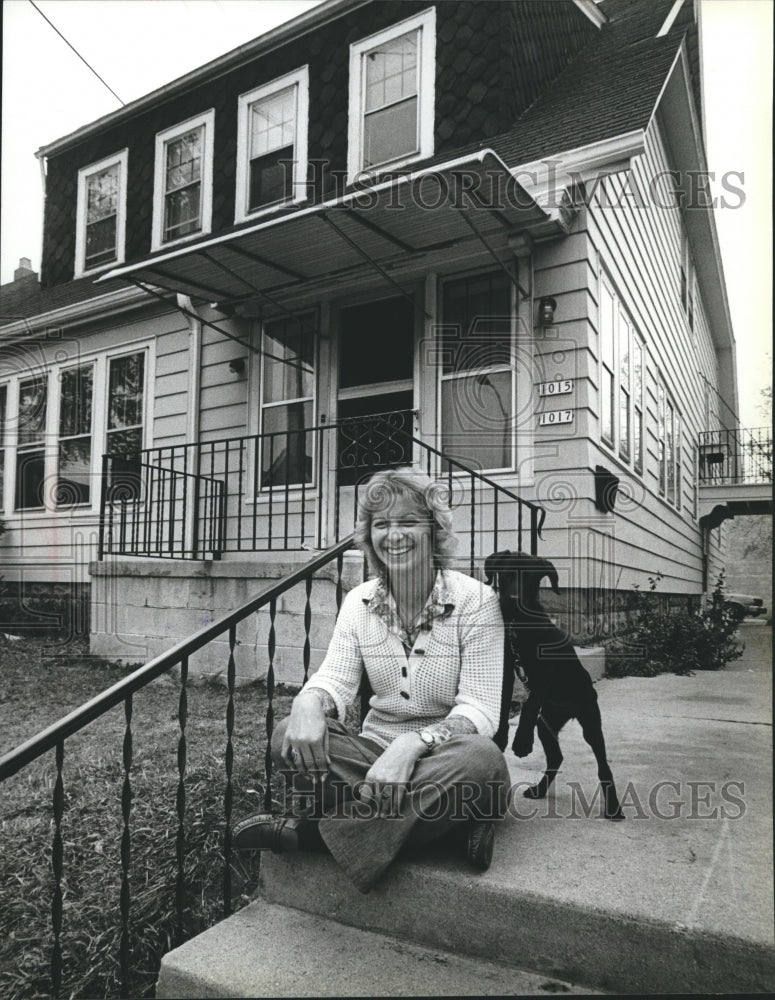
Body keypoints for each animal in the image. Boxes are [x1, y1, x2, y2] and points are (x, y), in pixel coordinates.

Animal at [484, 548, 624, 820]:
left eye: (530, 579)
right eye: (505, 574)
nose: (512, 601)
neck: (520, 625)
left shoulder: (544, 676)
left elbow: (528, 705)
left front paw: (521, 742)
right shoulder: (506, 669)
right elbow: (504, 703)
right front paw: (501, 737)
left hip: (590, 721)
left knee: (603, 766)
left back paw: (613, 807)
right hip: (545, 724)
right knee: (556, 757)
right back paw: (539, 790)